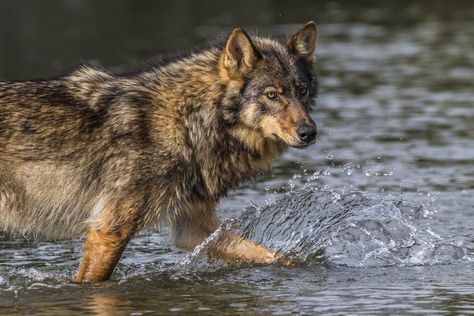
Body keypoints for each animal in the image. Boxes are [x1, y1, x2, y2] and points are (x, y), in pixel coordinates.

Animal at [0, 21, 318, 282]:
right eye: (272, 95)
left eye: (301, 91)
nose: (309, 132)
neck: (187, 122)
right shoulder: (109, 231)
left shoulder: (193, 227)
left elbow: (275, 256)